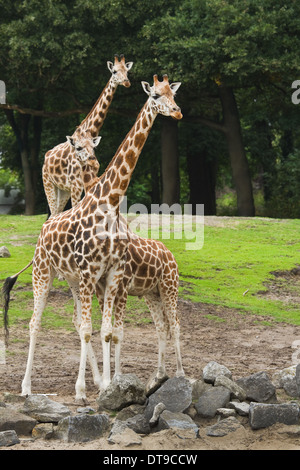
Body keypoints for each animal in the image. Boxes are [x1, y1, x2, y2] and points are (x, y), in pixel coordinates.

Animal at [2, 74, 183, 400]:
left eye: (172, 94)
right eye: (154, 96)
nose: (177, 112)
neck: (109, 202)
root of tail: (43, 230)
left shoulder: (110, 275)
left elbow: (106, 331)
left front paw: (108, 386)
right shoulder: (91, 273)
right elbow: (93, 330)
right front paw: (82, 390)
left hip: (75, 280)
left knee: (82, 322)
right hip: (43, 273)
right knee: (36, 323)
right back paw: (26, 386)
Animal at [42, 54, 132, 215]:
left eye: (127, 71)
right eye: (114, 71)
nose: (126, 82)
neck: (90, 130)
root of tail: (46, 158)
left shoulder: (90, 179)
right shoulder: (76, 184)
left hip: (63, 190)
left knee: (56, 212)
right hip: (49, 183)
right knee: (53, 212)